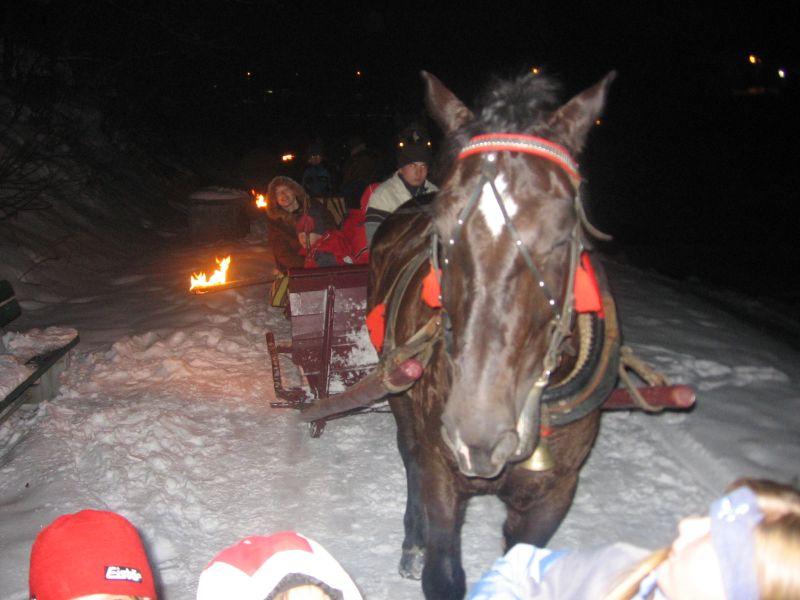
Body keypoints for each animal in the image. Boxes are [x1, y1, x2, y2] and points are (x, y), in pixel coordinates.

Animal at [368, 71, 620, 600]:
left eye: (563, 231)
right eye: (442, 228)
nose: (477, 434)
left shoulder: (554, 493)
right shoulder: (442, 469)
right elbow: (442, 570)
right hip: (400, 394)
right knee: (410, 456)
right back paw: (413, 536)